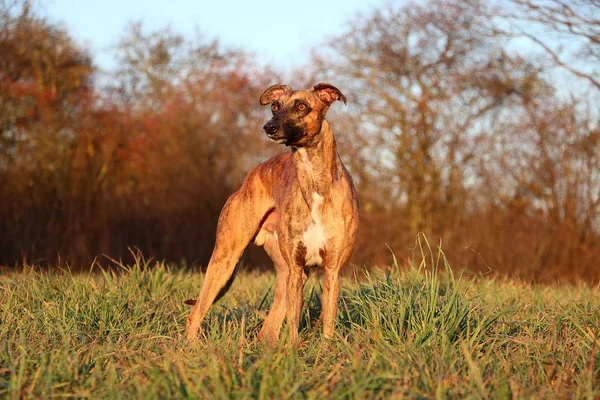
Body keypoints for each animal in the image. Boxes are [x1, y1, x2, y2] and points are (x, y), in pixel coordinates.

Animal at [185, 82, 358, 344]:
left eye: (301, 106)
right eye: (275, 106)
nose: (270, 127)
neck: (314, 182)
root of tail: (250, 176)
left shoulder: (331, 271)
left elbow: (328, 323)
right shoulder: (296, 269)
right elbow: (294, 323)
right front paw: (293, 349)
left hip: (285, 272)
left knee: (268, 328)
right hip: (225, 259)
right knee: (195, 313)